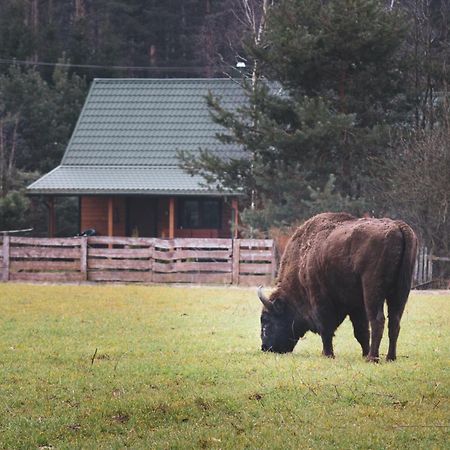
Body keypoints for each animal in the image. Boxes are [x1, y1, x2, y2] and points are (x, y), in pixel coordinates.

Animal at [258, 213, 416, 364]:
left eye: (266, 320)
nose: (265, 348)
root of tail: (397, 227)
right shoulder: (357, 306)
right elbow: (361, 331)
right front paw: (363, 354)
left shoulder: (320, 300)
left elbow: (326, 328)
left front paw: (328, 354)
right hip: (400, 292)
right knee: (394, 322)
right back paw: (390, 357)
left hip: (373, 292)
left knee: (378, 321)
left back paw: (373, 358)